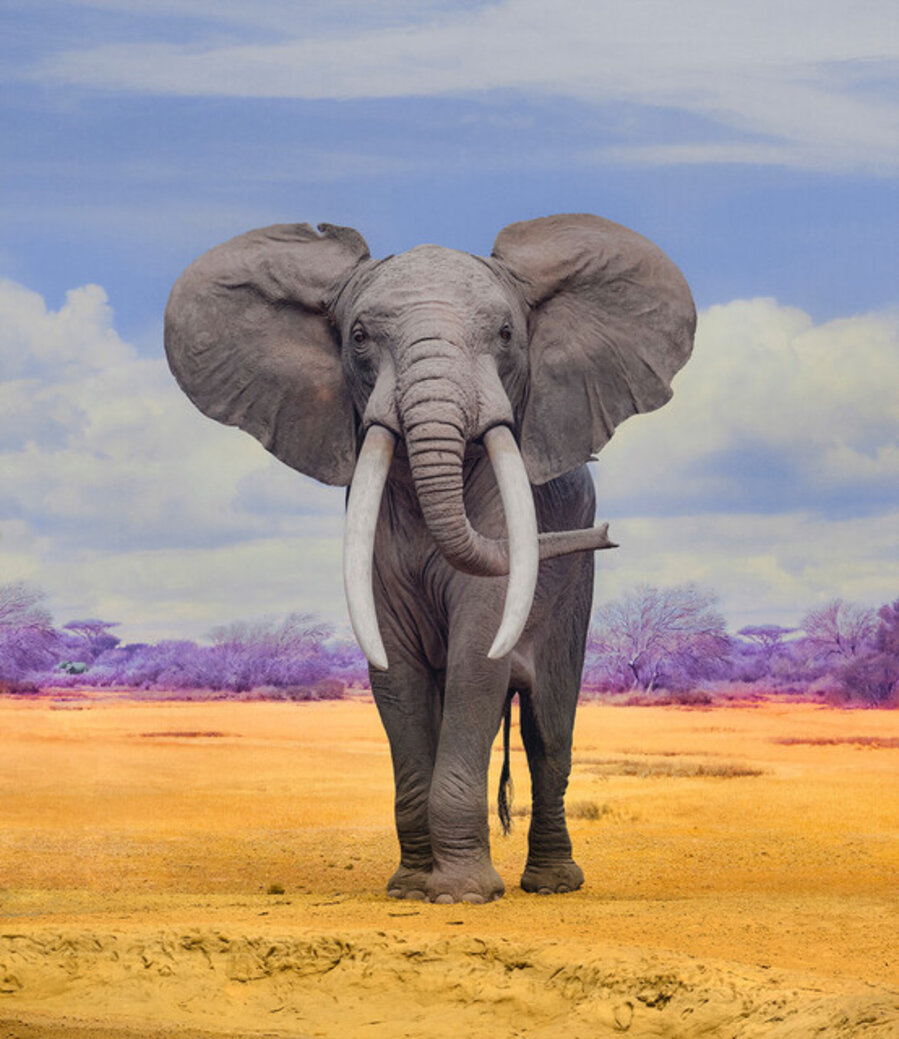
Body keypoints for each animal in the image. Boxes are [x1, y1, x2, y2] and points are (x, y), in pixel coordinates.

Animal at [164, 213, 695, 904]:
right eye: (359, 337)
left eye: (505, 334)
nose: (605, 534)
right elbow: (397, 671)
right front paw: (412, 888)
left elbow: (478, 659)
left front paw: (463, 894)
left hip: (574, 593)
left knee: (549, 731)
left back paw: (553, 885)